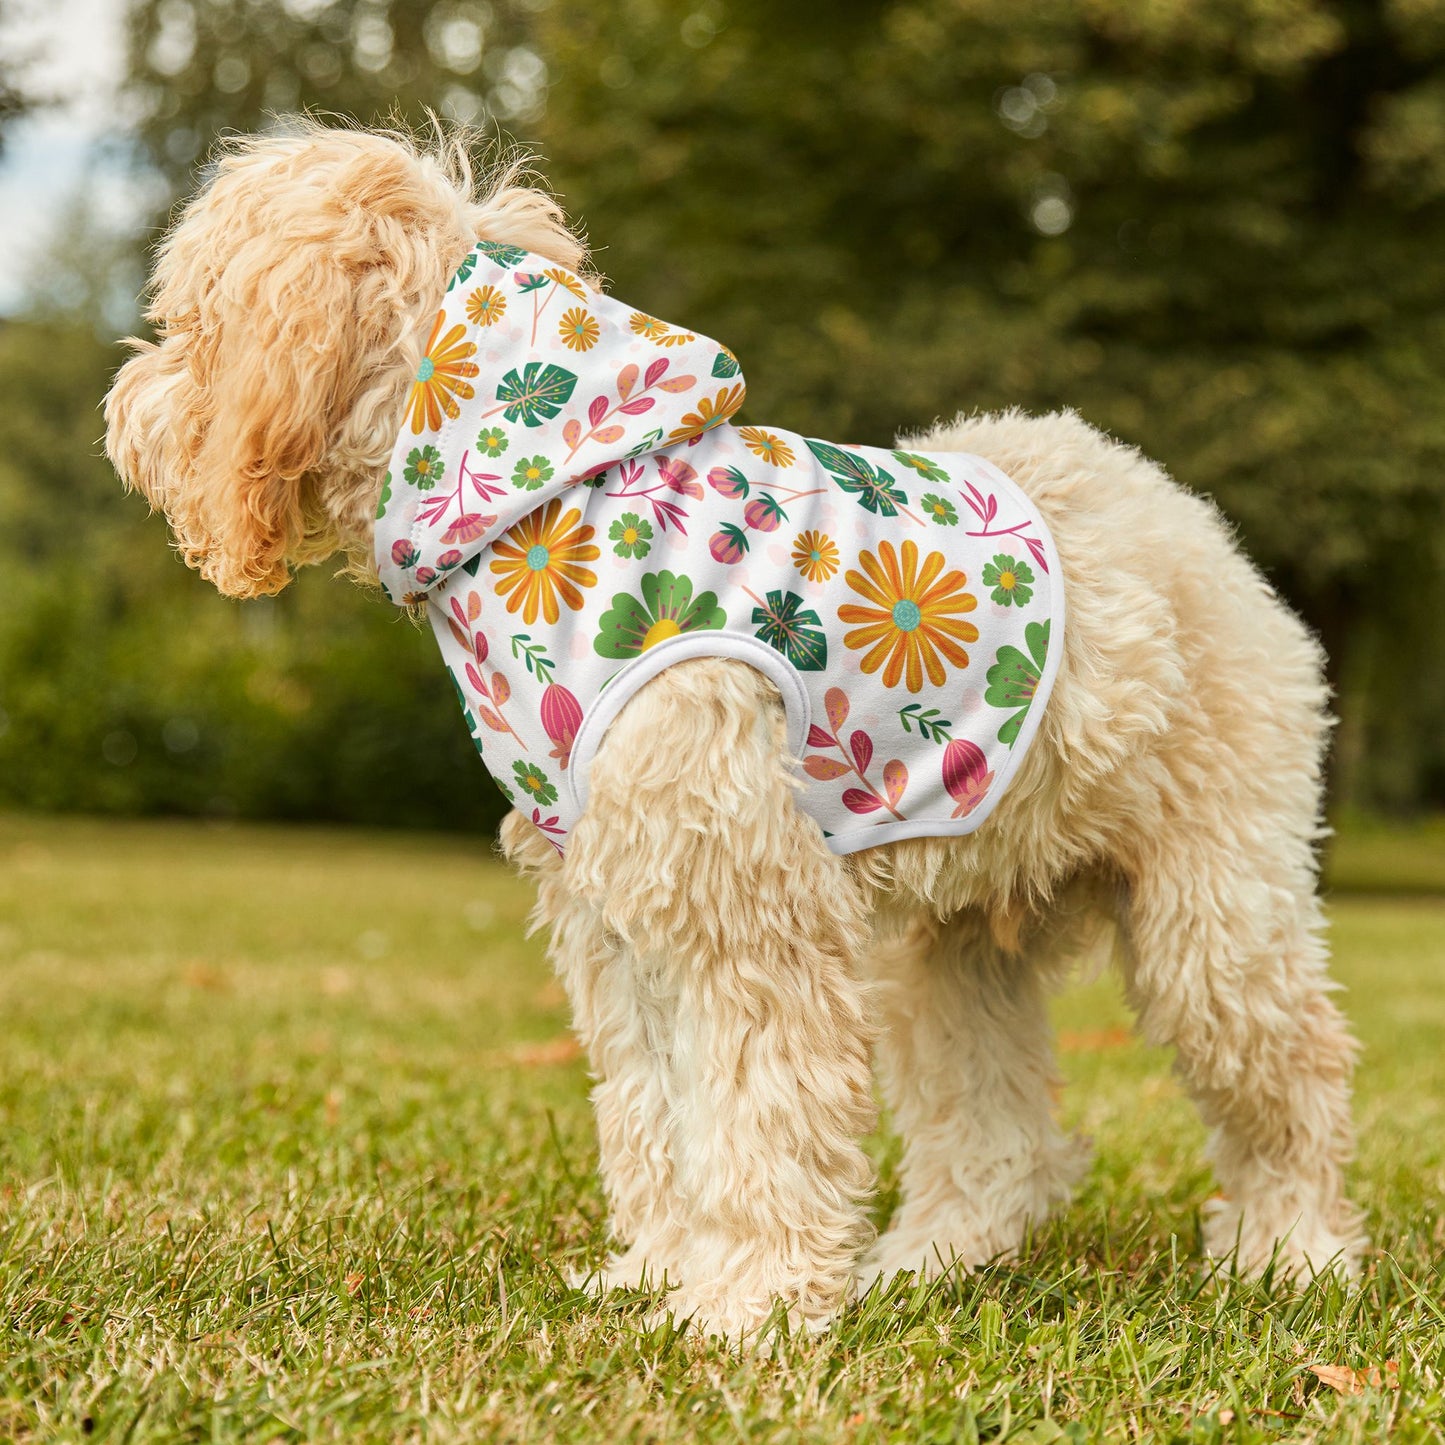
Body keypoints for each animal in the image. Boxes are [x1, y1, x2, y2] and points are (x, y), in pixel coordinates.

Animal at [104, 124, 1364, 1340]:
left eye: (190, 321)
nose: (123, 409)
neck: (545, 502)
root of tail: (1187, 519)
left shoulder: (744, 907)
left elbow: (758, 1112)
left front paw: (747, 1304)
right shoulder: (617, 913)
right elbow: (656, 1113)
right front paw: (662, 1273)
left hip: (1212, 913)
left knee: (1293, 1074)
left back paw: (1290, 1252)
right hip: (948, 948)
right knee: (995, 1134)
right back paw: (928, 1260)